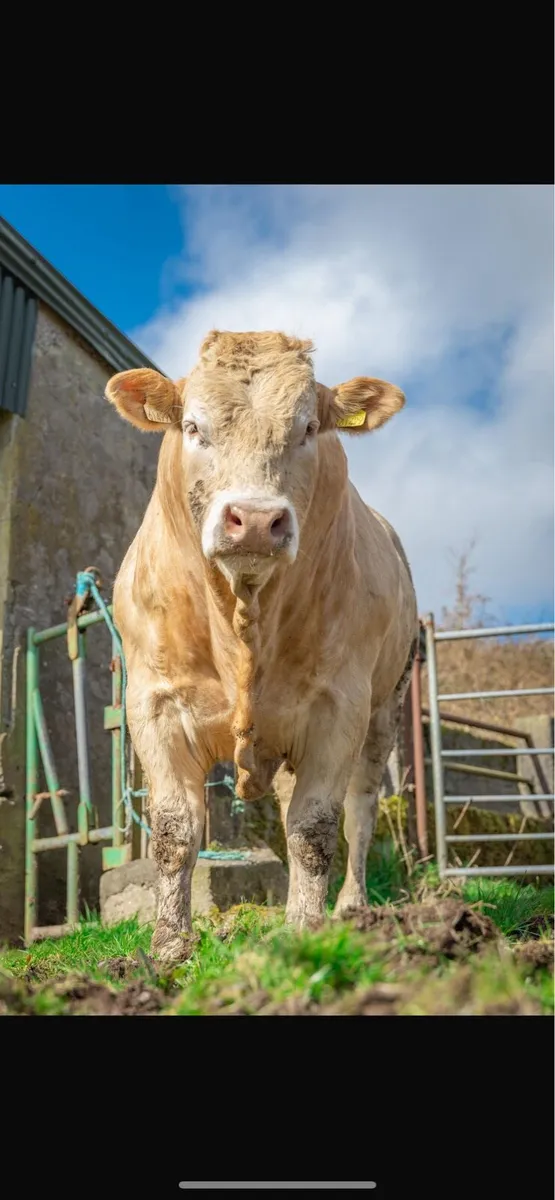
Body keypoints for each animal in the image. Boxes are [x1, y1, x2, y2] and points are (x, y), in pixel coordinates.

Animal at [106, 331, 418, 965]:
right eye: (193, 426)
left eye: (308, 428)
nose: (253, 521)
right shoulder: (154, 702)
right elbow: (175, 829)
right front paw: (169, 946)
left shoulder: (338, 706)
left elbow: (315, 830)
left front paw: (305, 929)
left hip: (383, 710)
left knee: (360, 811)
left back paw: (350, 908)